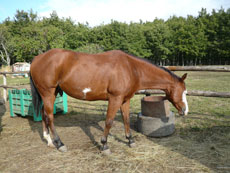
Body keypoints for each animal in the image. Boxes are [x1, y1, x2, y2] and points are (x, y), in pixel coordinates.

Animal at [29, 48, 188, 153]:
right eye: (183, 91)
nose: (185, 111)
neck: (131, 68)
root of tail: (37, 58)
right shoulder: (115, 99)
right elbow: (109, 121)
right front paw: (104, 145)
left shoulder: (124, 100)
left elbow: (126, 119)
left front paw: (130, 140)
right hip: (48, 92)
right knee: (50, 117)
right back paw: (59, 143)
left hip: (51, 93)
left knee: (44, 114)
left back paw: (49, 141)